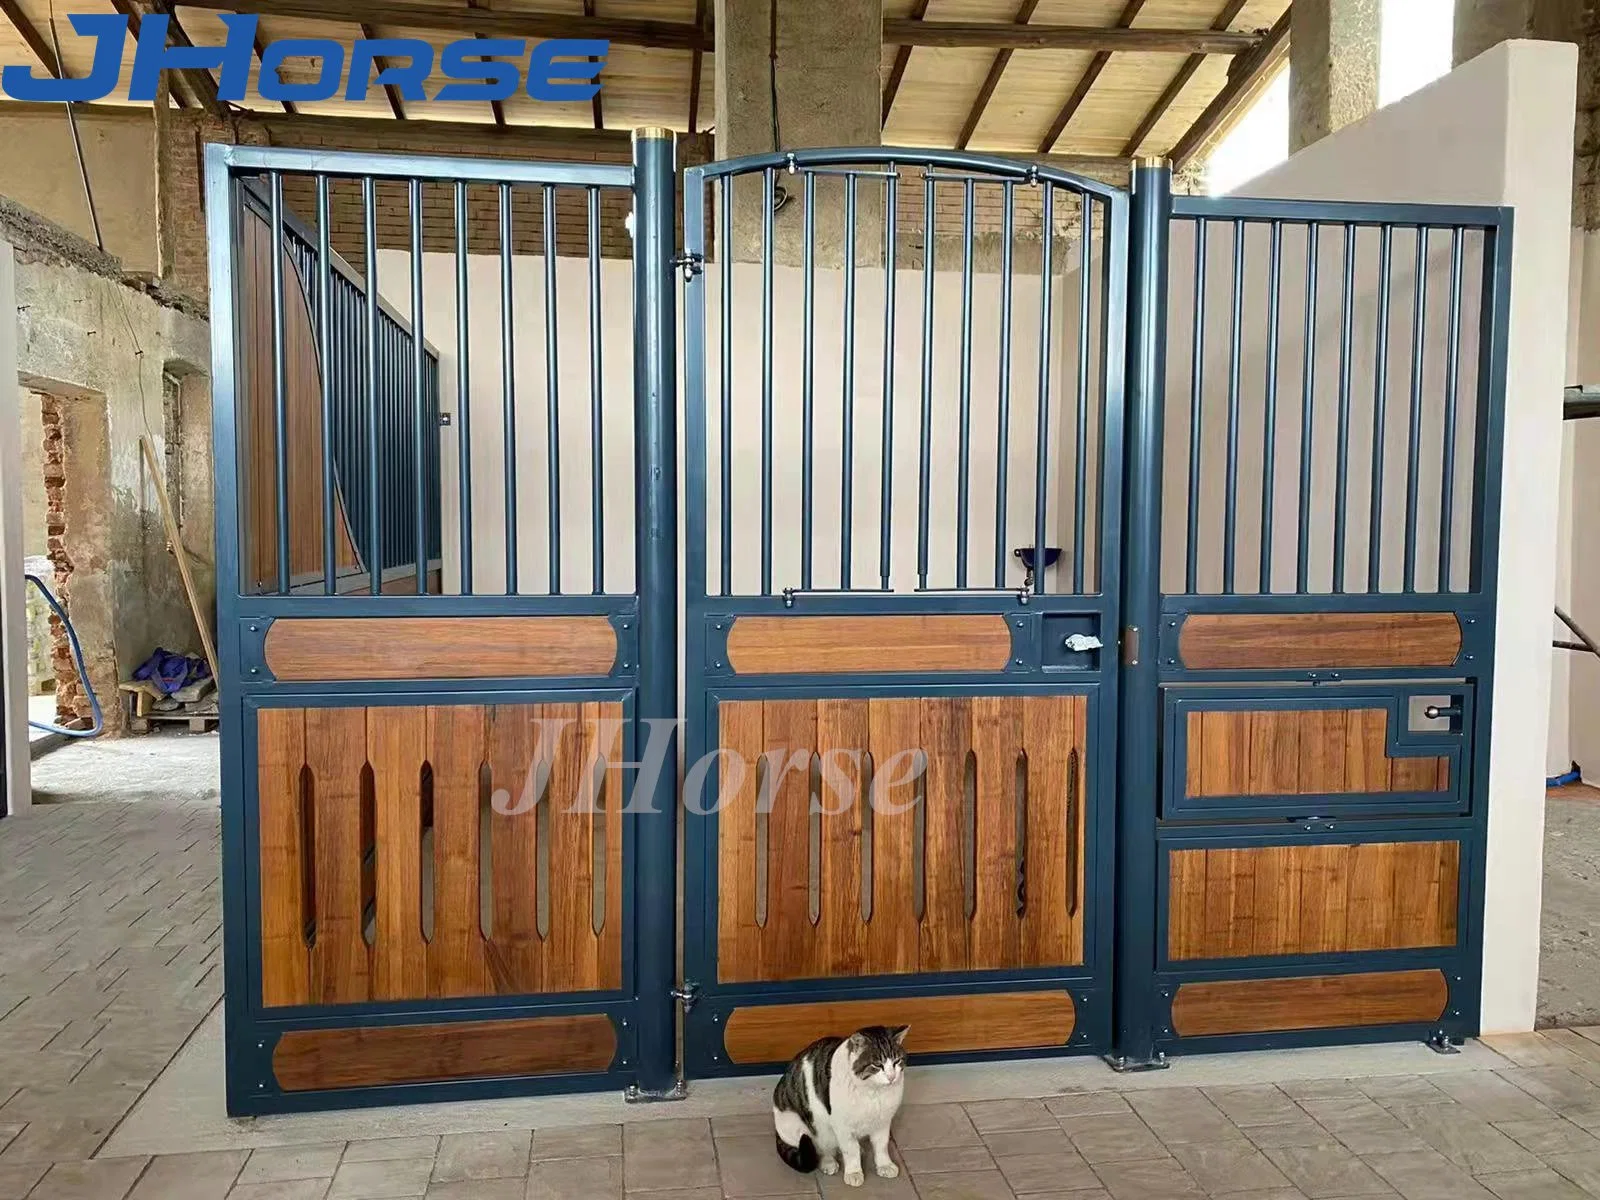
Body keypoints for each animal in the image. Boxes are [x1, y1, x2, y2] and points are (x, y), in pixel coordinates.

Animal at [774, 1030, 915, 1190]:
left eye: (897, 1061)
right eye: (877, 1065)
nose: (892, 1077)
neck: (874, 1093)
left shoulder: (883, 1121)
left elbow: (881, 1146)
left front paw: (885, 1165)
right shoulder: (842, 1126)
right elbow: (850, 1151)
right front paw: (854, 1172)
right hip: (803, 1125)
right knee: (821, 1148)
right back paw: (828, 1162)